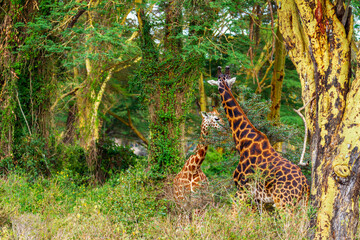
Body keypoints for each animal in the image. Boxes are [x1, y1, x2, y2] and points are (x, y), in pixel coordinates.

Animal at [208, 66, 310, 210]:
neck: (242, 140)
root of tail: (304, 184)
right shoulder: (257, 198)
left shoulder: (242, 190)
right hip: (302, 205)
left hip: (284, 203)